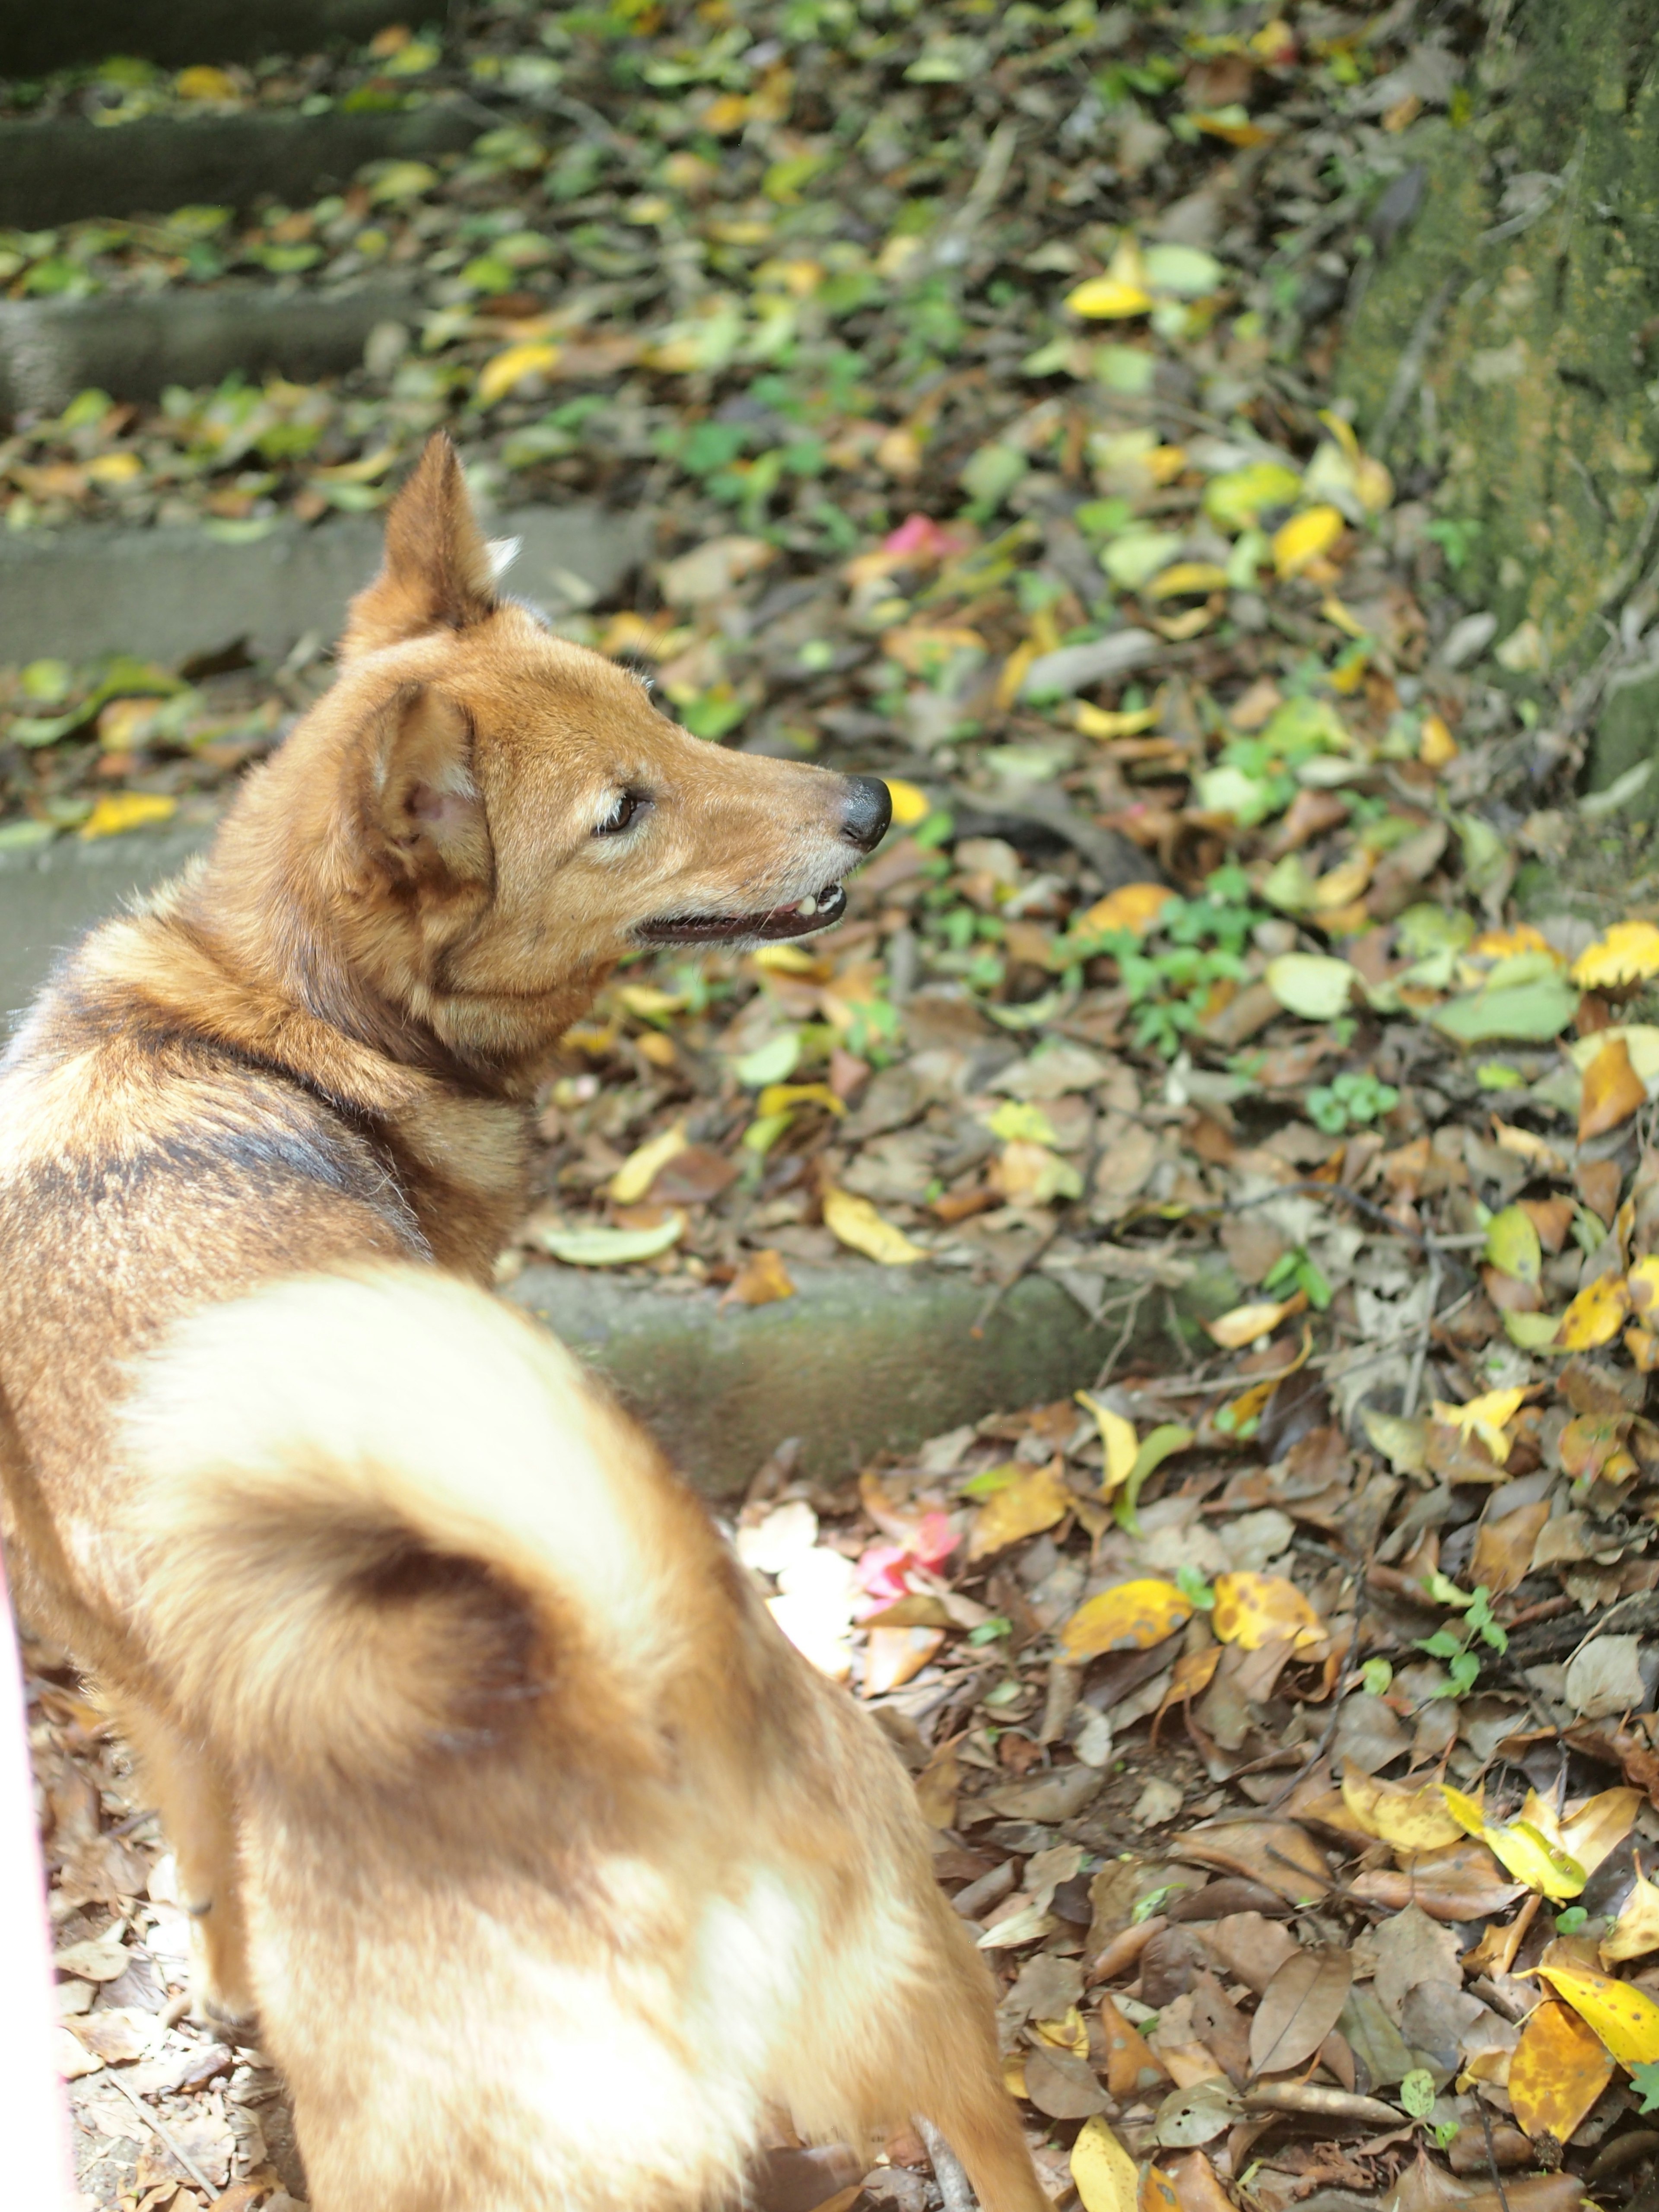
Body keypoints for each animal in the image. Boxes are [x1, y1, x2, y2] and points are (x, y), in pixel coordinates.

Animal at [0, 440, 1044, 2203]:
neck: (279, 1011)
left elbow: (202, 1872)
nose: (871, 803)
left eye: (659, 705)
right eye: (623, 811)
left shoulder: (153, 1705)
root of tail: (622, 1699)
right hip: (927, 1998)